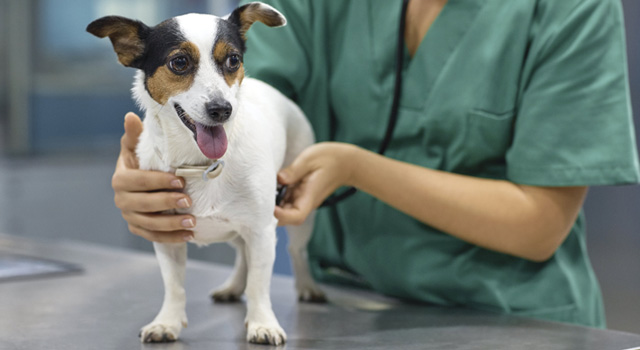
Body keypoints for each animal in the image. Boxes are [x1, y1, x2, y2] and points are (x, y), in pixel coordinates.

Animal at [86, 2, 324, 346]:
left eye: (233, 60)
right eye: (179, 62)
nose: (222, 109)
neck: (201, 165)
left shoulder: (262, 230)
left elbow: (260, 284)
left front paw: (262, 323)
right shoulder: (166, 235)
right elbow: (174, 285)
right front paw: (167, 322)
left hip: (299, 213)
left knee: (296, 251)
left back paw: (307, 286)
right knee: (242, 255)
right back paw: (233, 286)